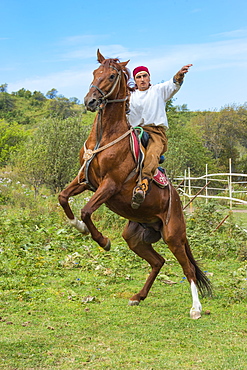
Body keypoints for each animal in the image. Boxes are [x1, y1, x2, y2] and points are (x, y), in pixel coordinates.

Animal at [58, 50, 211, 320]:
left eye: (111, 76)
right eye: (94, 72)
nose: (90, 101)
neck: (104, 137)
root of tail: (177, 200)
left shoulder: (109, 185)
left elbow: (86, 210)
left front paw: (102, 240)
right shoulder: (84, 181)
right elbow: (63, 197)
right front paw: (78, 226)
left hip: (173, 236)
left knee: (188, 270)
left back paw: (196, 309)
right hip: (135, 237)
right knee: (158, 262)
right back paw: (138, 297)